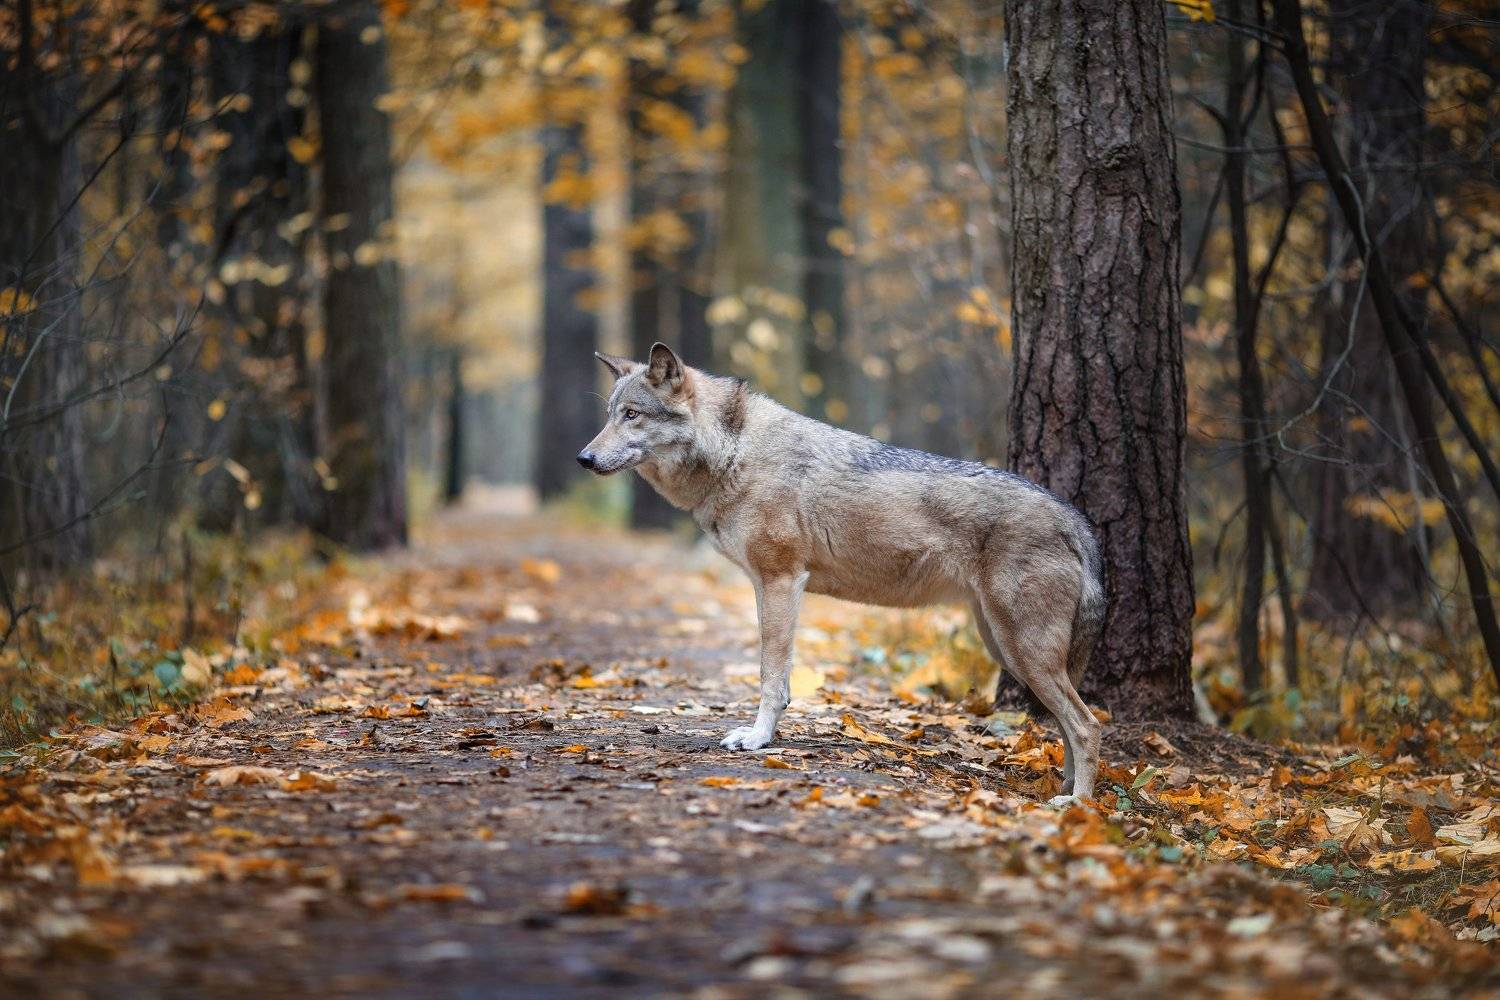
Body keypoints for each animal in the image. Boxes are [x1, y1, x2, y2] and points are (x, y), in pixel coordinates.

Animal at [579, 344, 1106, 803]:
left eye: (632, 415)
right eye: (609, 414)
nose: (583, 458)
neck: (735, 450)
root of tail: (1074, 518)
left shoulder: (781, 581)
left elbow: (770, 676)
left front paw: (758, 739)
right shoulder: (766, 586)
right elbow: (778, 678)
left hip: (1022, 650)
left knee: (1087, 724)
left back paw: (1077, 806)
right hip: (1007, 648)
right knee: (1069, 723)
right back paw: (1065, 791)